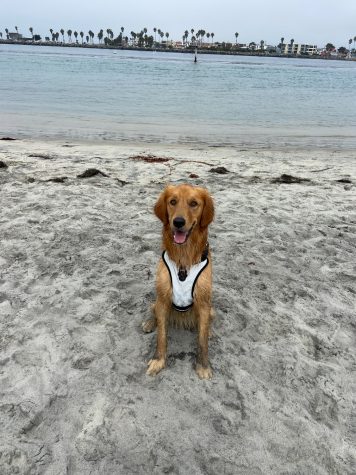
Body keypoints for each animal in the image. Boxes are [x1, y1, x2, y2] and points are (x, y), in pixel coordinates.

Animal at [142, 184, 214, 382]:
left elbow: (202, 340)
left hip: (211, 309)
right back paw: (150, 323)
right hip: (157, 302)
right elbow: (161, 336)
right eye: (172, 201)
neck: (184, 259)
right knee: (155, 313)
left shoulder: (203, 303)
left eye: (194, 203)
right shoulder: (163, 297)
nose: (179, 222)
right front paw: (158, 361)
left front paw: (203, 366)